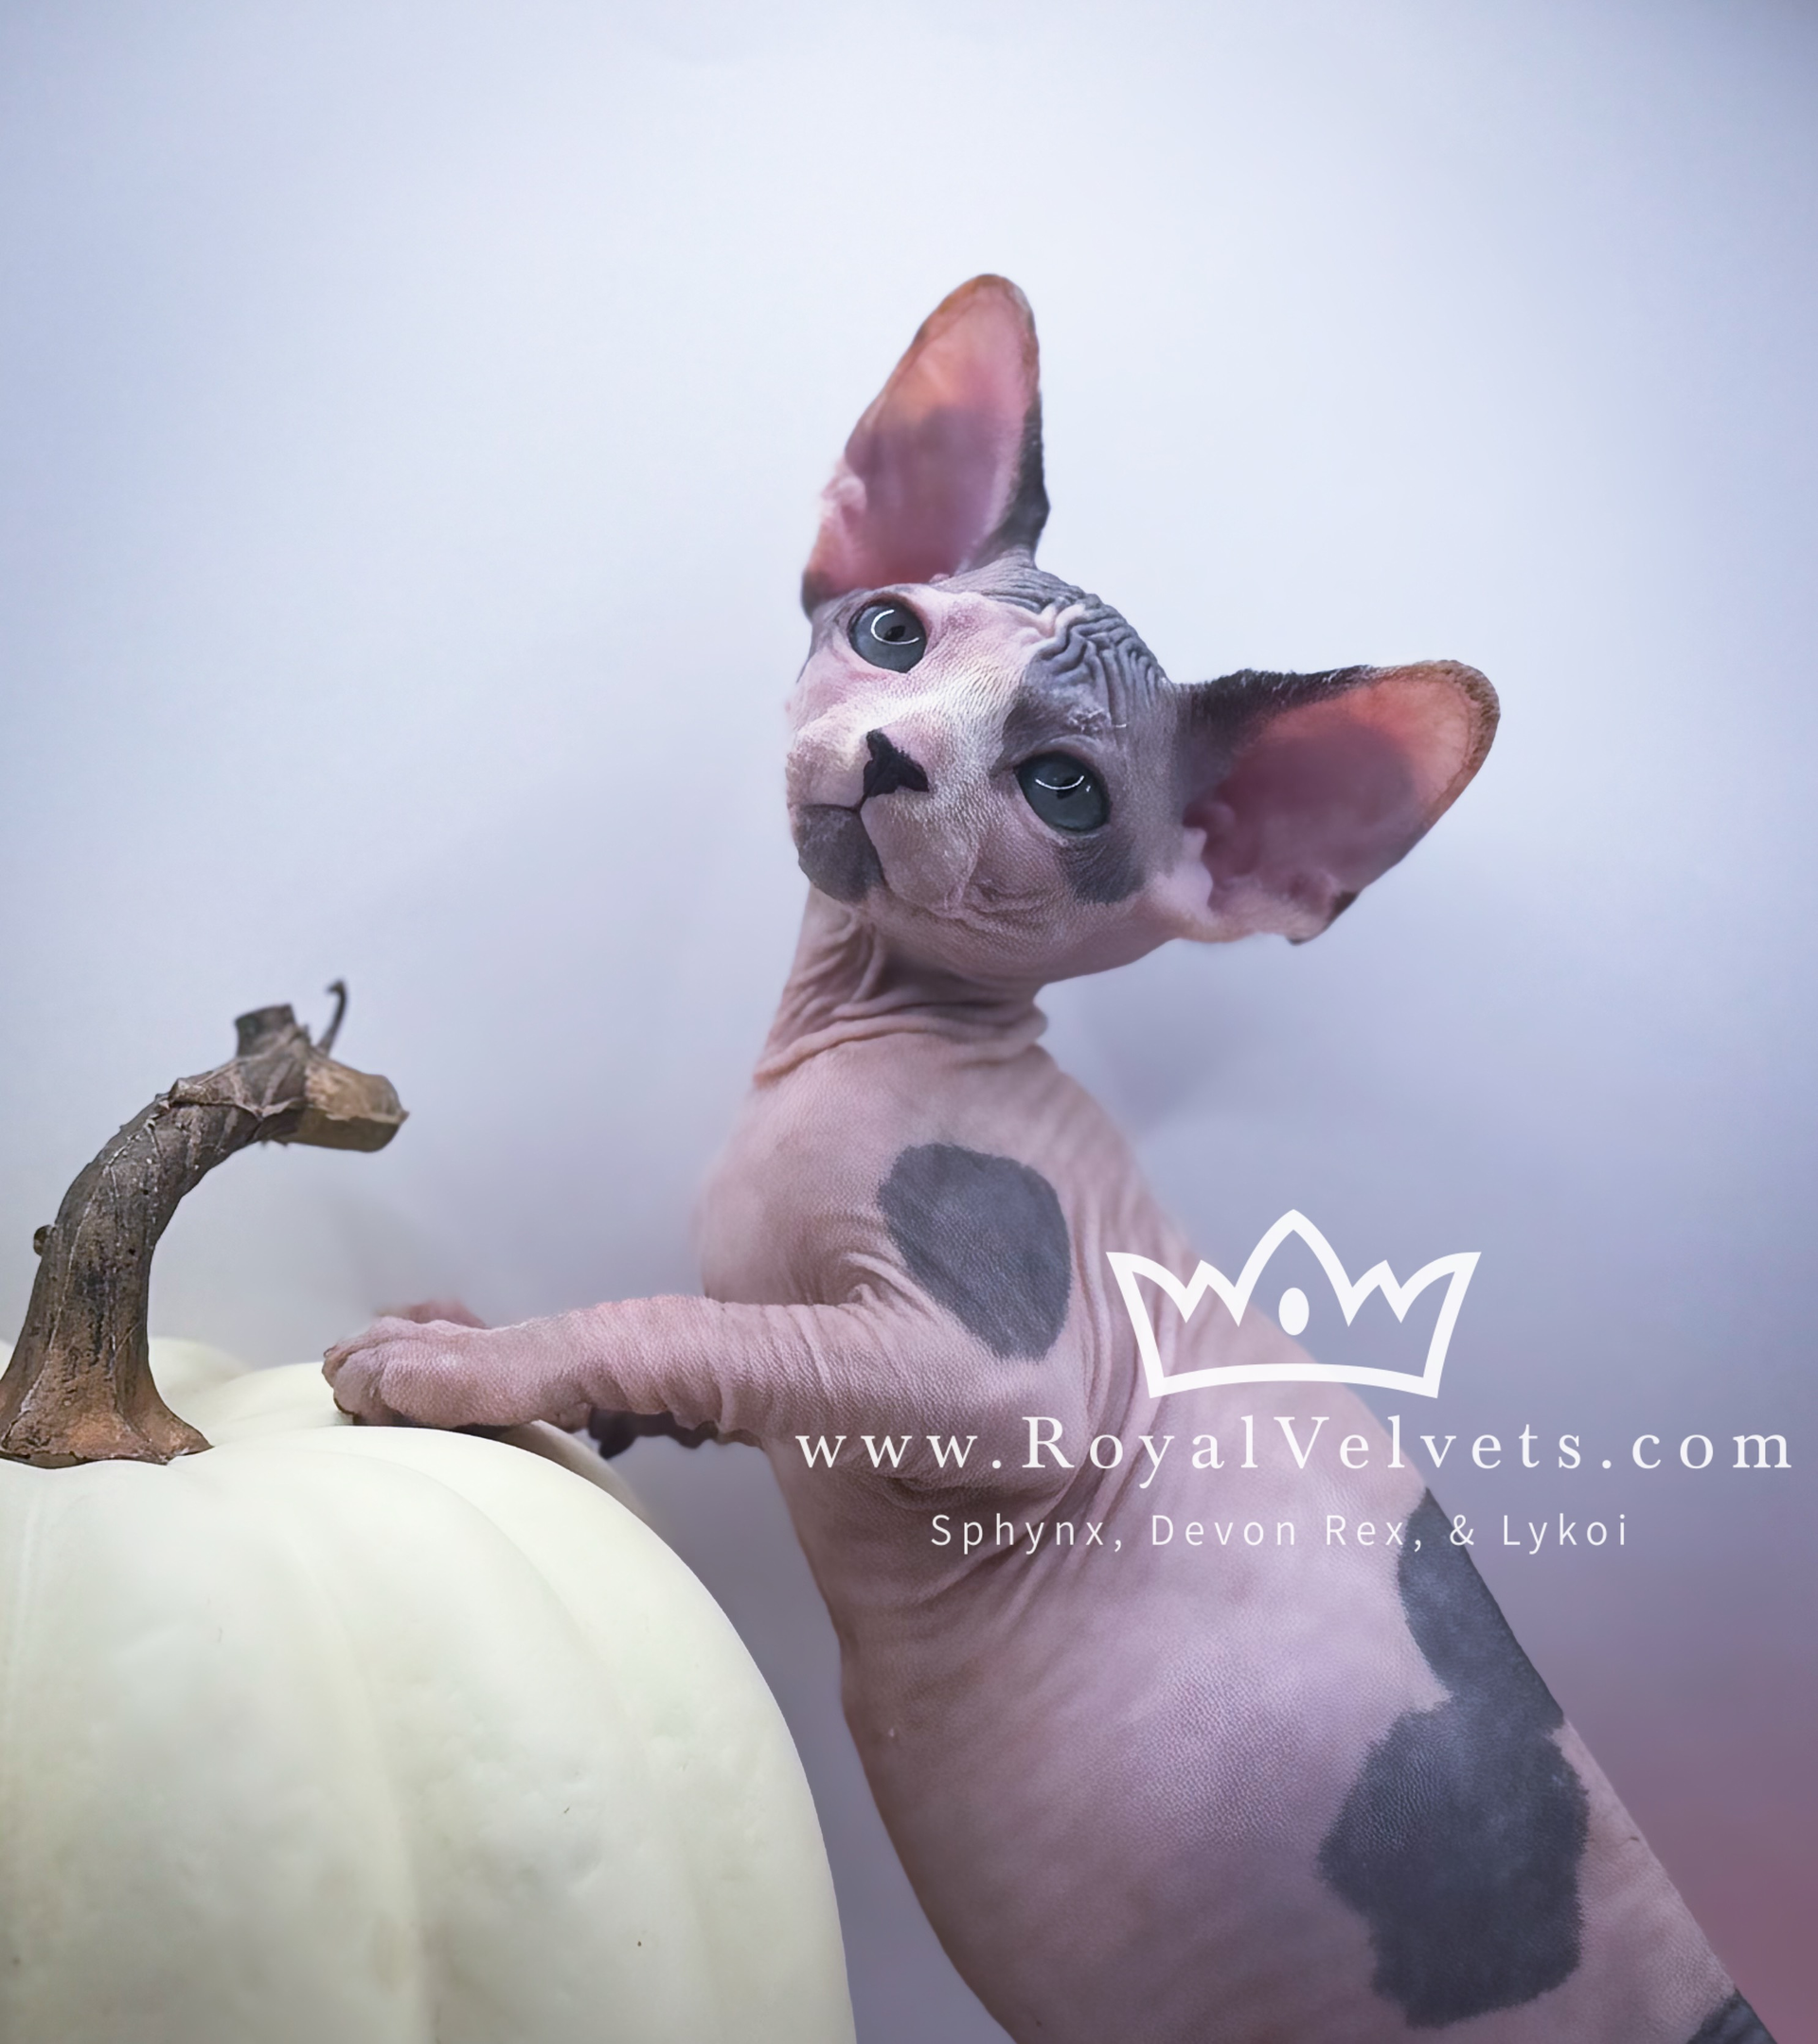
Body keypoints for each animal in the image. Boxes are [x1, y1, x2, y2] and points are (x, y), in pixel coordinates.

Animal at [327, 275, 1774, 2044]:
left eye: (1064, 789)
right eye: (890, 632)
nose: (894, 755)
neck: (867, 1025)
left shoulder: (1007, 1378)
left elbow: (703, 1324)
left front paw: (465, 1365)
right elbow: (722, 1326)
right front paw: (491, 1344)